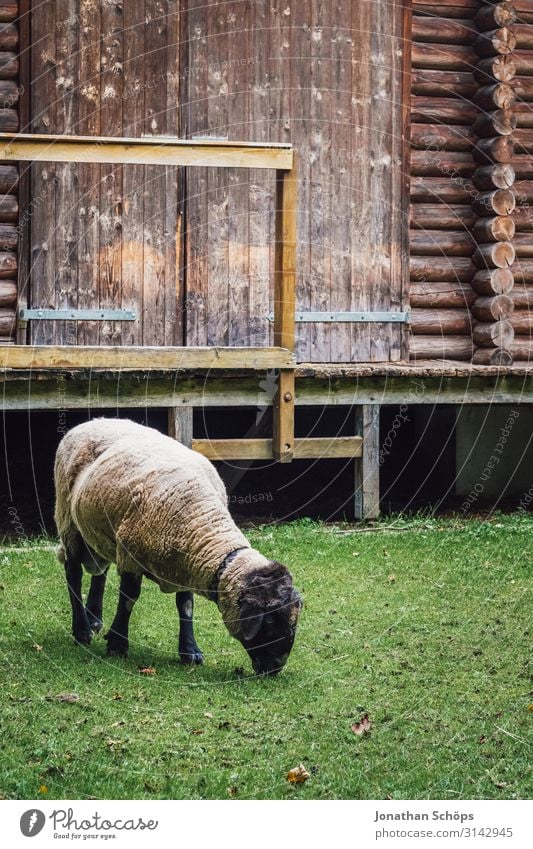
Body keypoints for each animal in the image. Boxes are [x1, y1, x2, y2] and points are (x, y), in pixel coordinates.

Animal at [55, 418, 304, 676]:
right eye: (270, 619)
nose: (276, 668)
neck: (201, 520)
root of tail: (94, 421)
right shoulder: (131, 556)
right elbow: (129, 599)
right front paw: (117, 644)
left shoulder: (186, 562)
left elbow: (186, 605)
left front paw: (190, 651)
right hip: (68, 520)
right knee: (73, 574)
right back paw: (82, 630)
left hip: (98, 530)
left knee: (100, 570)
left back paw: (94, 618)